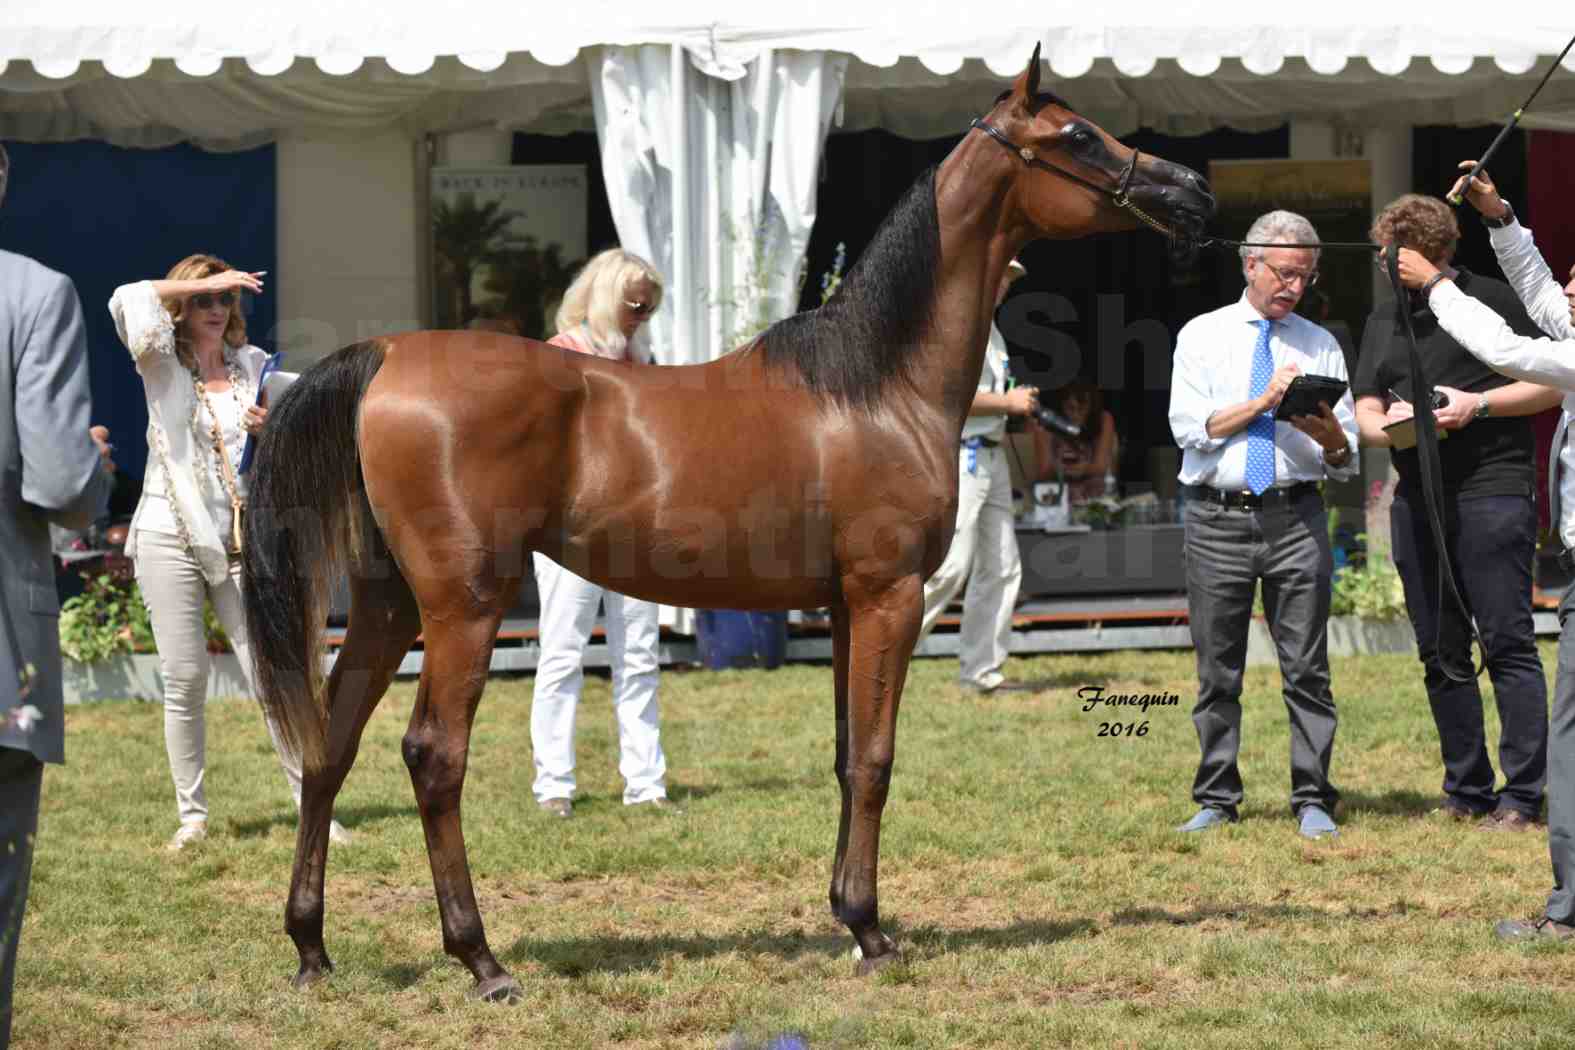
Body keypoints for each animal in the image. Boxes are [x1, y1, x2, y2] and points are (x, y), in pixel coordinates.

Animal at [239, 49, 1209, 1001]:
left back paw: (311, 949)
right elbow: (876, 759)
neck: (875, 384)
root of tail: (387, 355)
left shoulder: (845, 605)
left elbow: (844, 754)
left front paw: (845, 915)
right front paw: (872, 933)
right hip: (462, 608)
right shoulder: (889, 595)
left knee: (327, 748)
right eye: (1076, 136)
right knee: (432, 756)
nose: (1192, 191)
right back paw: (481, 959)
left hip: (387, 604)